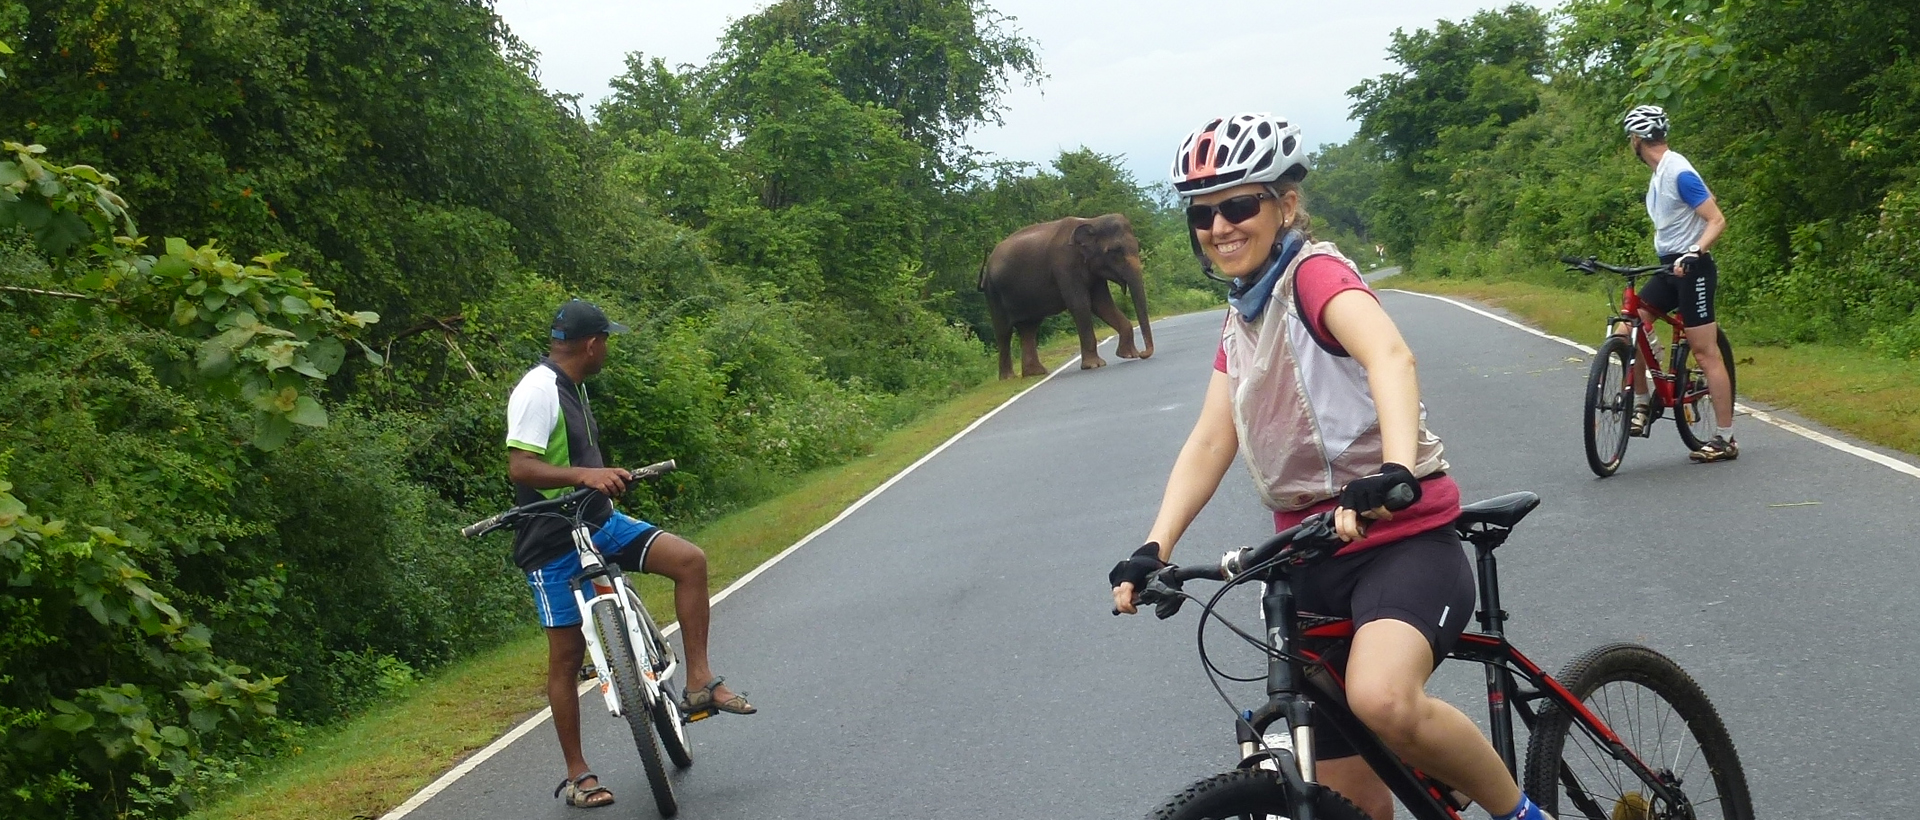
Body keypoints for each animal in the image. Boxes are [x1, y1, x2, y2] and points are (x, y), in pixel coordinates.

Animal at [983, 212, 1144, 378]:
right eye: (1115, 251)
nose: (1144, 353)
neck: (1093, 221)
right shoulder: (1064, 266)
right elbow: (1080, 305)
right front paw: (1094, 365)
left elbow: (1103, 305)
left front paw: (1130, 355)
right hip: (994, 293)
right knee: (1003, 332)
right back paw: (1009, 377)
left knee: (1029, 328)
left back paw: (1035, 373)